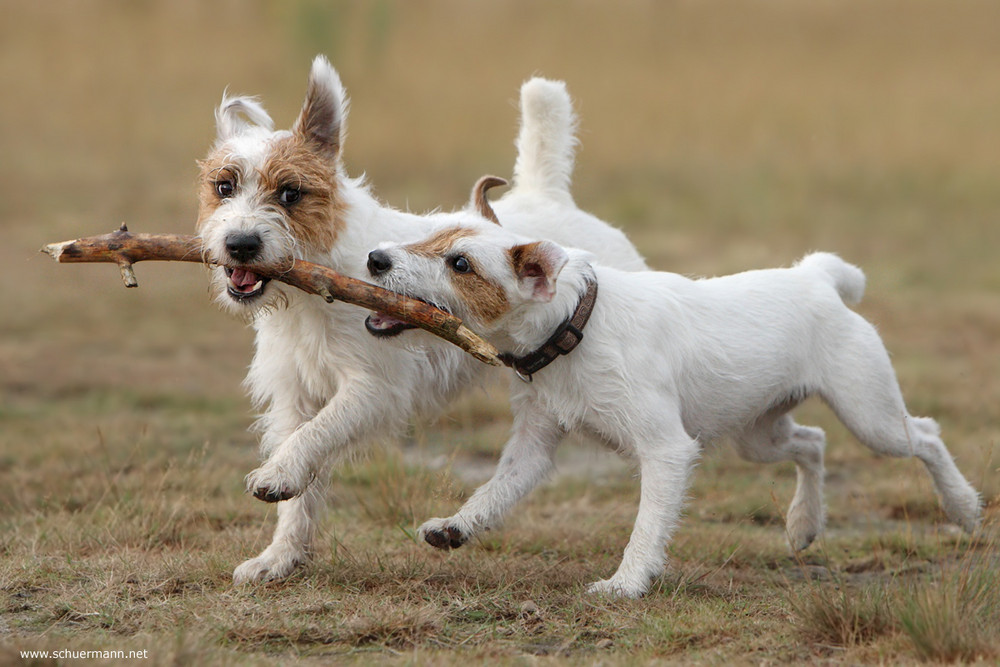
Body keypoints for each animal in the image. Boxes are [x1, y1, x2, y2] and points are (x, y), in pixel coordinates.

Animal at [195, 56, 648, 584]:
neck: (315, 288)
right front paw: (281, 555)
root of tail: (550, 197)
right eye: (223, 187)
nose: (240, 244)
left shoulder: (373, 388)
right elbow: (302, 477)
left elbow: (318, 434)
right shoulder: (295, 396)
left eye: (290, 193)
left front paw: (276, 475)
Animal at [364, 222, 980, 596]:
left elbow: (647, 525)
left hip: (871, 416)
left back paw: (964, 507)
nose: (373, 258)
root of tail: (816, 276)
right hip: (758, 436)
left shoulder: (665, 450)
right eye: (432, 235)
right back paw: (804, 523)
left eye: (460, 263)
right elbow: (493, 492)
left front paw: (625, 584)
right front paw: (455, 527)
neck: (575, 326)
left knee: (925, 436)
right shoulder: (533, 448)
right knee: (813, 443)